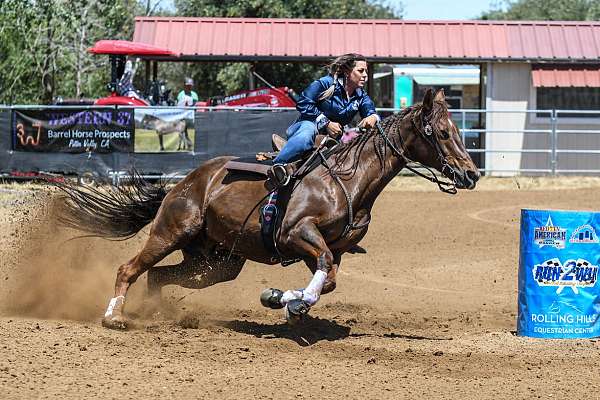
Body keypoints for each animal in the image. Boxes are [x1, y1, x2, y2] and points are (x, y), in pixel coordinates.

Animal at [55, 89, 478, 330]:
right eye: (442, 133)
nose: (471, 174)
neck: (348, 178)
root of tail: (183, 184)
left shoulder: (330, 249)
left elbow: (329, 278)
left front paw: (285, 301)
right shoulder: (297, 233)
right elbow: (324, 269)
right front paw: (285, 301)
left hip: (216, 263)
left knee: (159, 277)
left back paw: (159, 315)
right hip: (171, 232)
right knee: (128, 269)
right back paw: (115, 317)